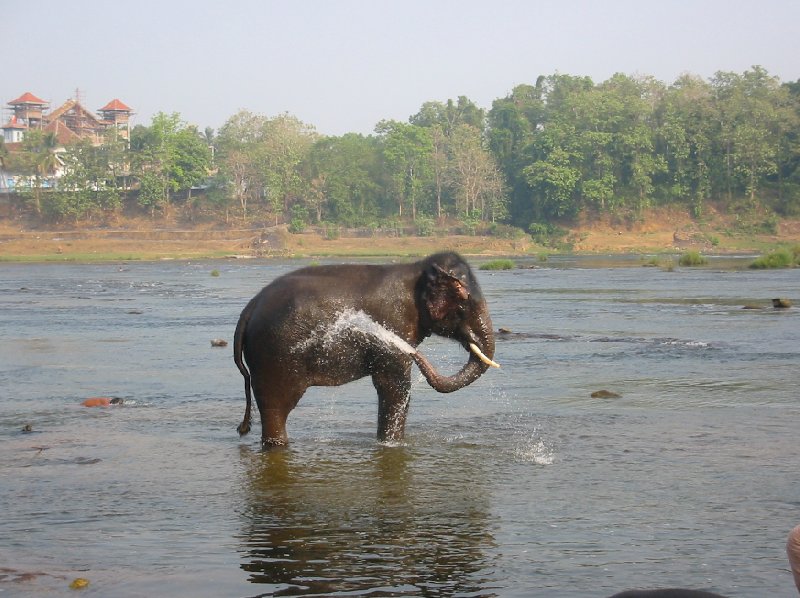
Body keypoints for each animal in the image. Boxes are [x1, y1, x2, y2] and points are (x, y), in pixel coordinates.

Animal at [231, 251, 496, 448]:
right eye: (463, 299)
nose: (415, 354)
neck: (416, 270)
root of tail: (249, 309)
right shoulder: (393, 328)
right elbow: (396, 388)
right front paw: (391, 445)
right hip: (275, 358)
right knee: (277, 409)